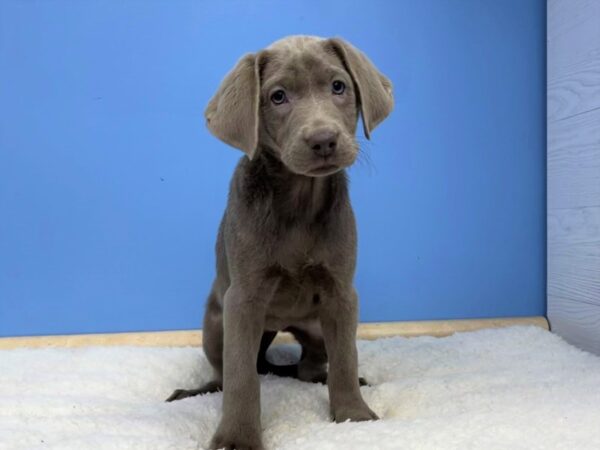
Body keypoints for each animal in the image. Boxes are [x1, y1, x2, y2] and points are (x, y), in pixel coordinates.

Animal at [168, 36, 394, 450]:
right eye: (277, 97)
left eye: (338, 86)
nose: (323, 140)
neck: (298, 203)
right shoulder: (243, 300)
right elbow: (242, 378)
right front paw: (237, 438)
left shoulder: (341, 294)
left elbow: (346, 357)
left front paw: (353, 414)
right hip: (216, 323)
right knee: (226, 374)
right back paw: (195, 391)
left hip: (317, 326)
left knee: (311, 367)